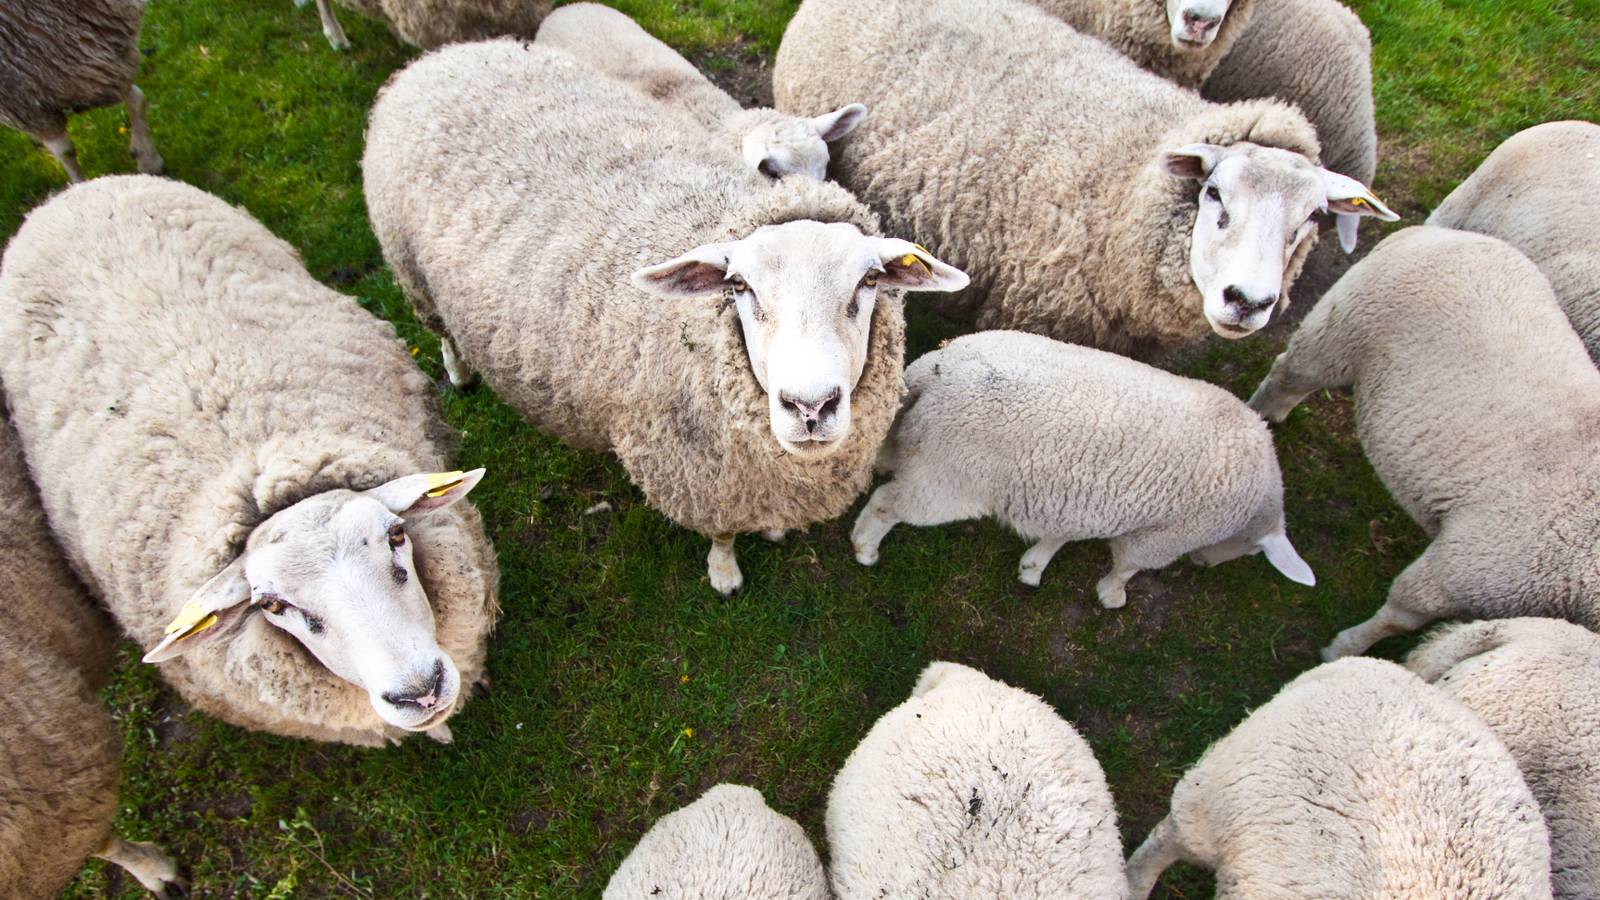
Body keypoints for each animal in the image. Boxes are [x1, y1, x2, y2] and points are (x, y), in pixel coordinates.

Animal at [0, 0, 162, 182]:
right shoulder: (22, 105)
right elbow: (65, 151)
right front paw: (79, 184)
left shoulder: (103, 69)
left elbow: (138, 102)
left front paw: (149, 161)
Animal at [363, 40, 967, 595]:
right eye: (739, 285)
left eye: (870, 281)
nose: (810, 407)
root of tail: (444, 56)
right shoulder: (700, 479)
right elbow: (722, 535)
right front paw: (725, 574)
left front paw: (772, 531)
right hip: (412, 272)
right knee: (440, 330)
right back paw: (460, 371)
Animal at [851, 331, 1314, 607]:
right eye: (1253, 551)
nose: (1203, 564)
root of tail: (937, 372)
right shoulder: (1163, 537)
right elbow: (1128, 565)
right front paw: (1112, 595)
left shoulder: (1081, 501)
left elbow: (1062, 534)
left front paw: (1034, 565)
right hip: (946, 480)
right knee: (887, 503)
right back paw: (865, 548)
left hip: (914, 440)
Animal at [1248, 226, 1600, 661]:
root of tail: (1435, 233)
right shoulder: (1466, 565)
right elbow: (1400, 614)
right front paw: (1342, 650)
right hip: (1337, 334)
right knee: (1288, 374)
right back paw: (1261, 413)